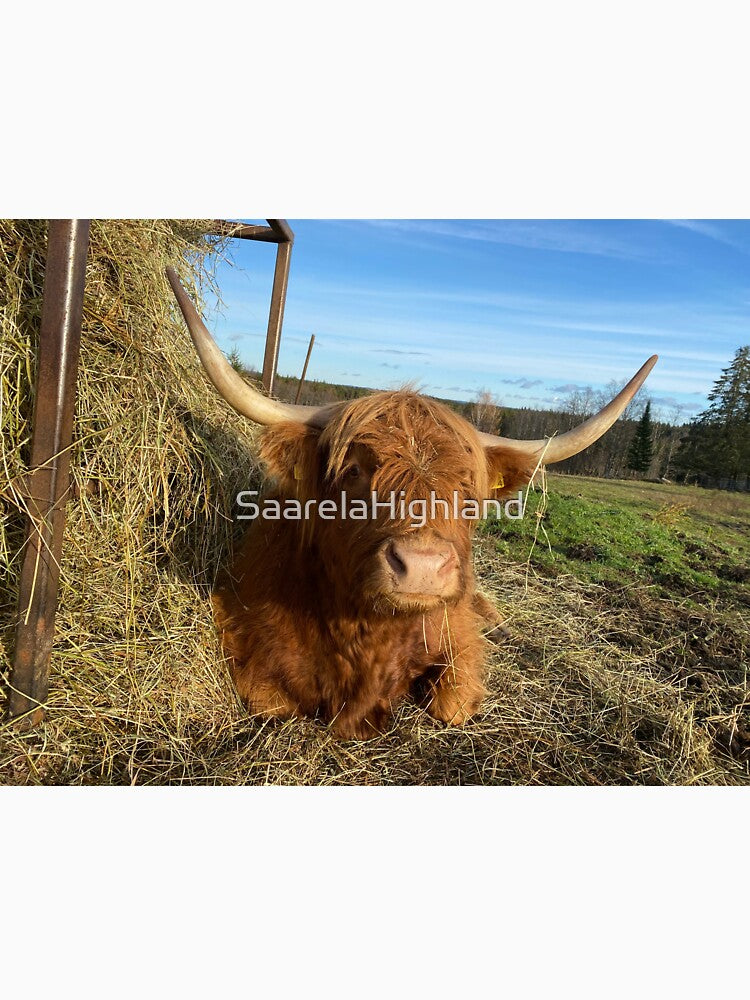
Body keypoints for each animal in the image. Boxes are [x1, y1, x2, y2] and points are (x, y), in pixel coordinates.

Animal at [167, 268, 657, 739]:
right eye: (354, 470)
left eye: (467, 487)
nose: (422, 566)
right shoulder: (242, 628)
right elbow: (273, 703)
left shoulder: (456, 637)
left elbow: (452, 705)